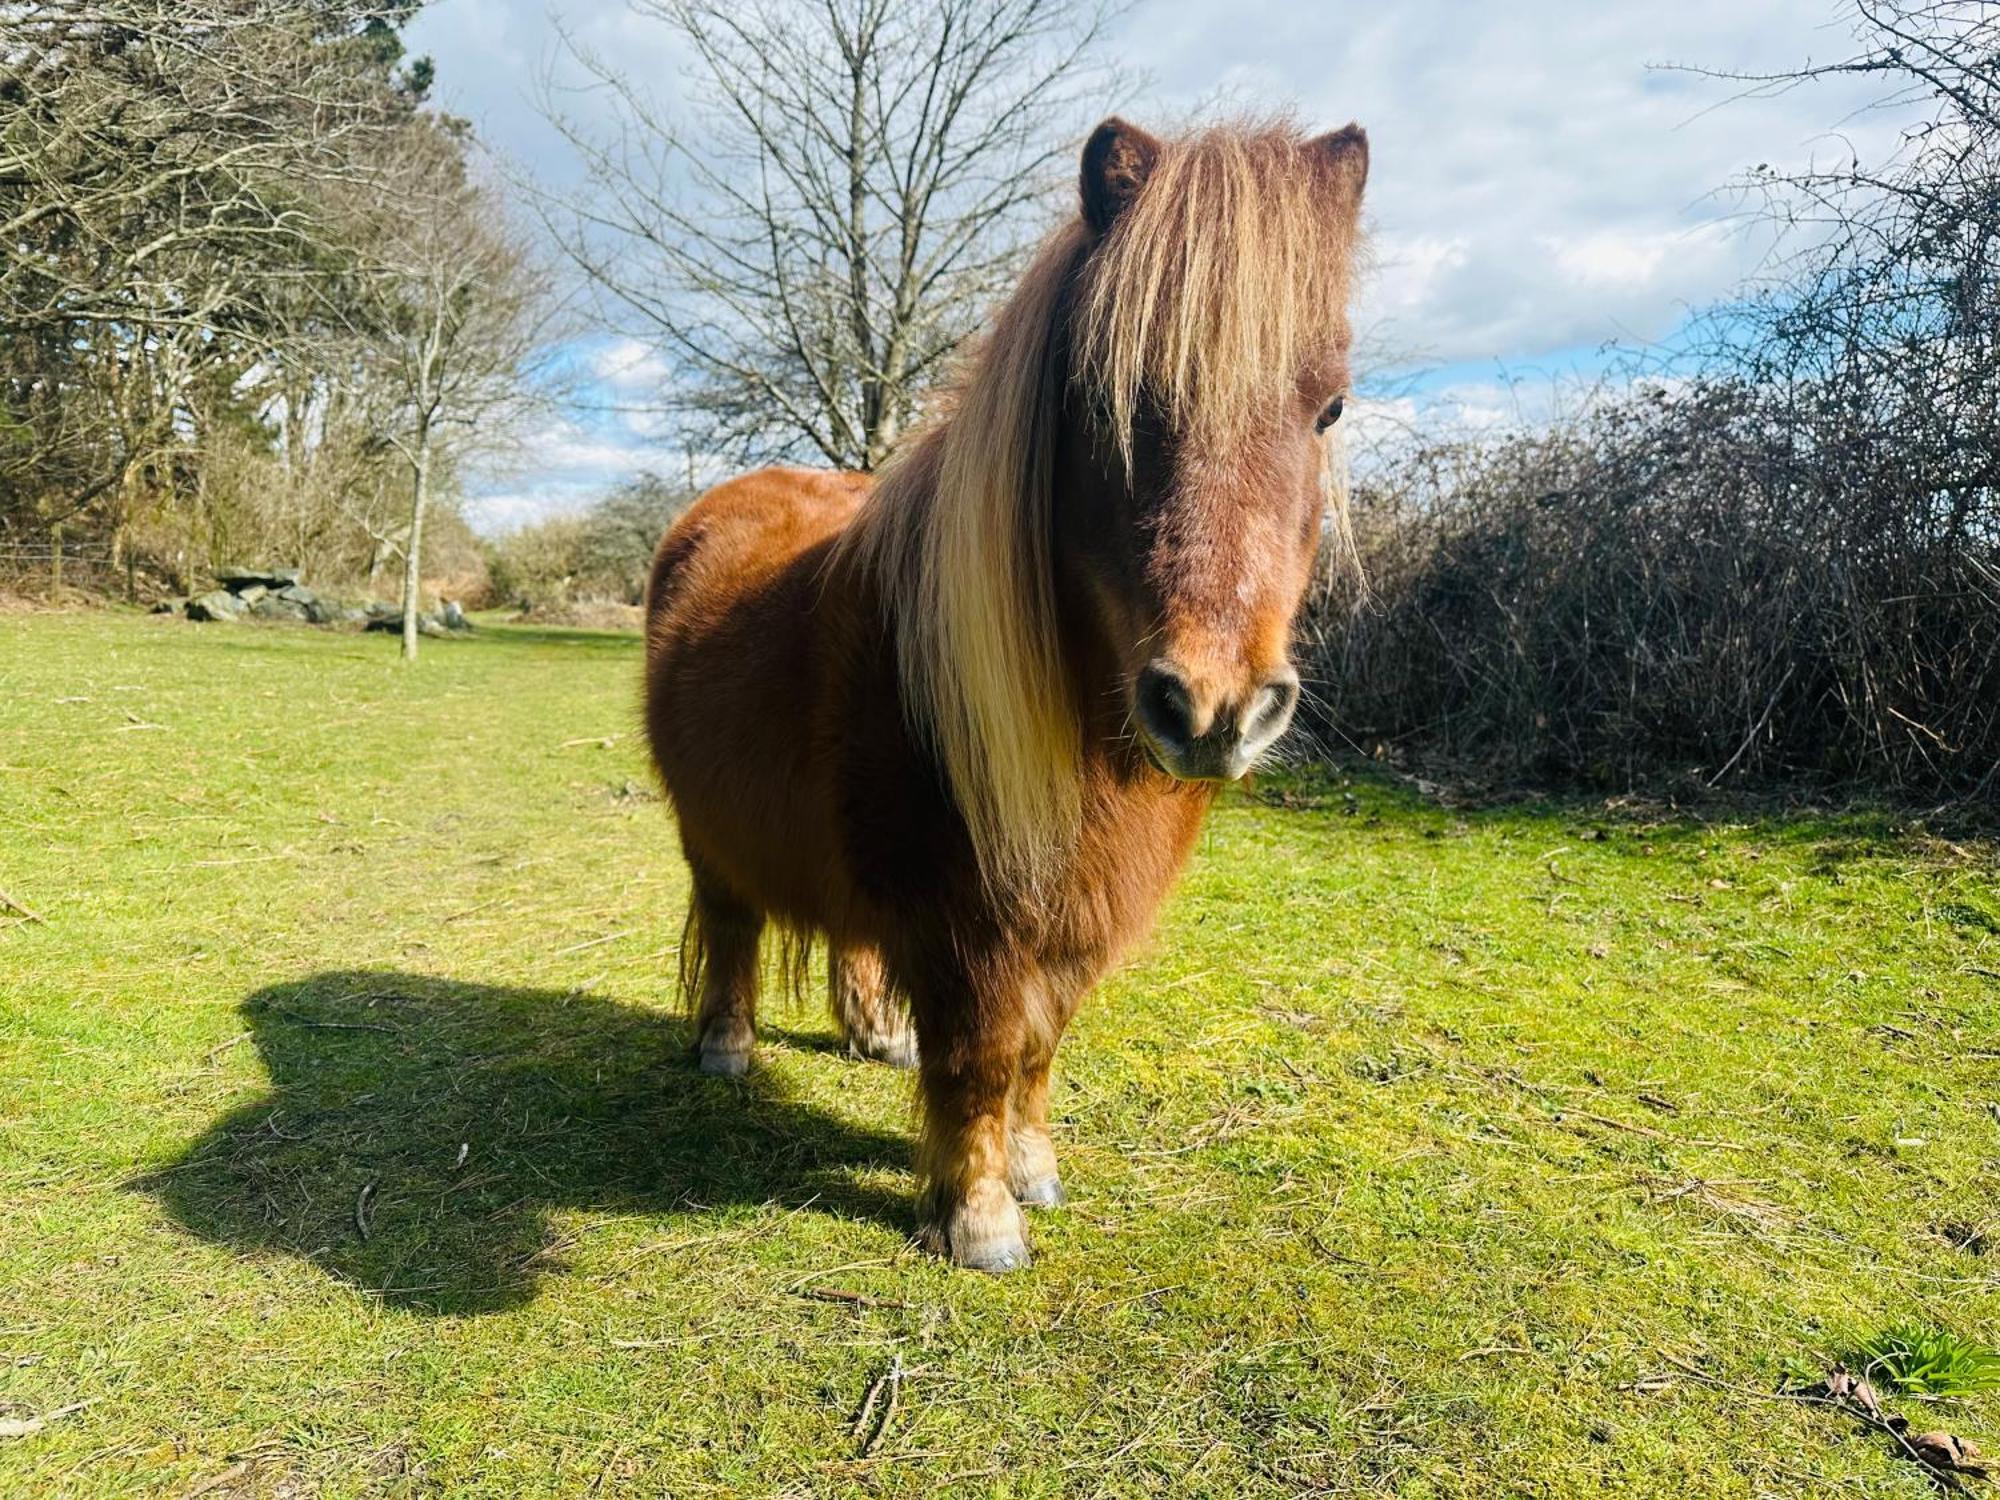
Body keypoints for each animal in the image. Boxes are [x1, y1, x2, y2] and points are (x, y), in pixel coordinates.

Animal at [648, 117, 1368, 1272]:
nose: (1213, 710)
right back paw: (725, 1044)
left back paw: (874, 1033)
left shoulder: (1076, 918)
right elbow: (984, 1050)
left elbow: (1039, 1043)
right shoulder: (963, 925)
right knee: (730, 924)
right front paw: (977, 1218)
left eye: (1328, 410)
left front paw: (1031, 1170)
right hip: (710, 833)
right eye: (1113, 406)